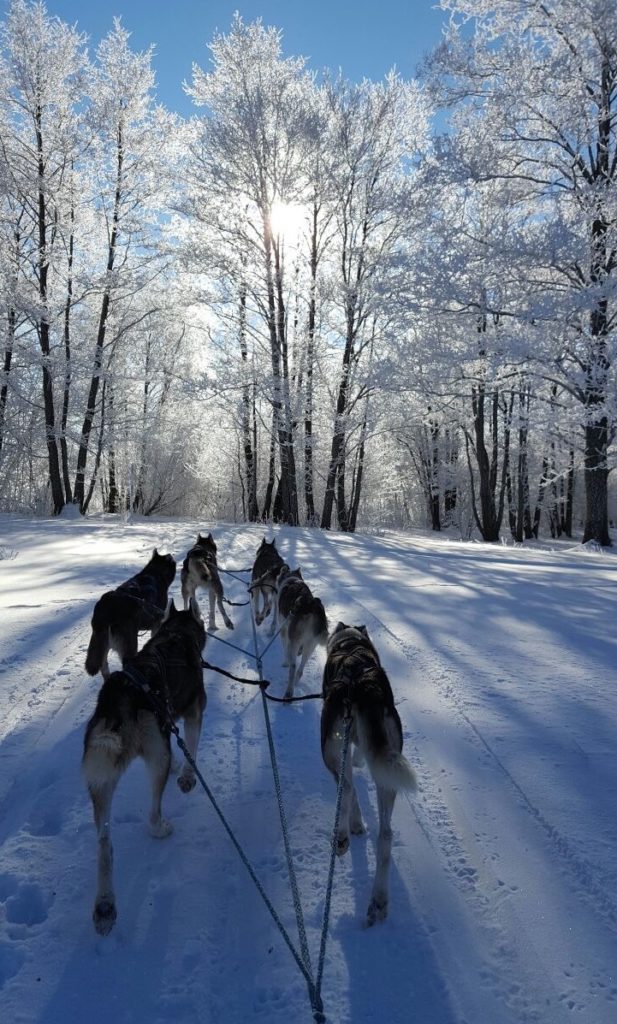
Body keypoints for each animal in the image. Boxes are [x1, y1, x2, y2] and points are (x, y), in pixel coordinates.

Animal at [80, 598, 207, 937]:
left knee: (104, 844)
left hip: (100, 781)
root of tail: (120, 698)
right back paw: (161, 829)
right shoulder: (194, 713)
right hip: (156, 755)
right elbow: (191, 751)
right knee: (151, 816)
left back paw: (105, 906)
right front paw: (187, 776)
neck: (176, 635)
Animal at [272, 565, 325, 700]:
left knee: (293, 667)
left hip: (294, 642)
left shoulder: (284, 630)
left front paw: (284, 663)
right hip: (311, 645)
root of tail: (310, 605)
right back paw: (295, 683)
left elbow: (285, 649)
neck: (292, 579)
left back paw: (289, 692)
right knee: (300, 670)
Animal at [321, 622, 417, 929]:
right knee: (385, 835)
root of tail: (361, 684)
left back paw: (342, 836)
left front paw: (355, 825)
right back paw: (379, 901)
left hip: (329, 750)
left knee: (347, 789)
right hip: (390, 774)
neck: (351, 644)